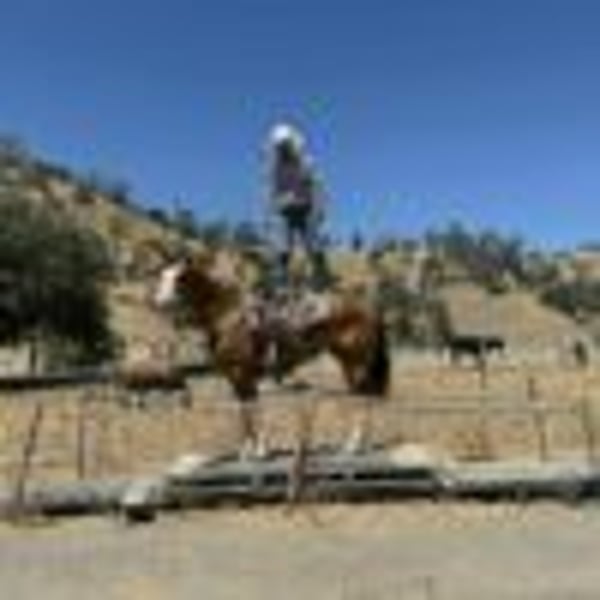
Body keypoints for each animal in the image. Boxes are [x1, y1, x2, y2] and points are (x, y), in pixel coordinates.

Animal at [153, 249, 390, 457]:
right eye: (162, 276)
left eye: (181, 278)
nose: (159, 303)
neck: (228, 316)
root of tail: (368, 308)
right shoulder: (235, 377)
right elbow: (244, 411)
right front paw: (247, 450)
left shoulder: (242, 374)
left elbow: (253, 409)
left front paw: (260, 451)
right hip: (352, 364)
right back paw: (360, 445)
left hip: (356, 364)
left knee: (363, 400)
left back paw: (353, 446)